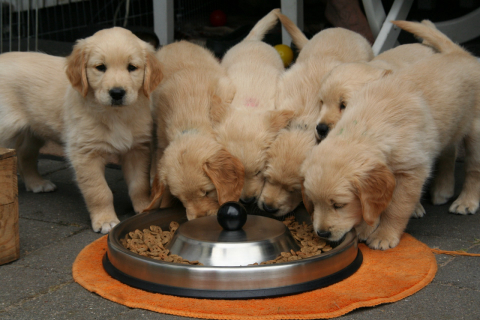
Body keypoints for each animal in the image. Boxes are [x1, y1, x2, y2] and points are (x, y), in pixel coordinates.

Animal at [0, 26, 163, 232]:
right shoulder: (85, 153)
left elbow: (139, 184)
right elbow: (99, 191)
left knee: (24, 153)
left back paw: (36, 183)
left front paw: (145, 207)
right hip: (7, 127)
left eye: (132, 67)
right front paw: (105, 220)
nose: (117, 93)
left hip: (33, 130)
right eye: (100, 67)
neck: (115, 115)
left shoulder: (137, 149)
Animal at [146, 40, 244, 220]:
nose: (200, 217)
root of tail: (177, 42)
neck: (189, 125)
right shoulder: (162, 138)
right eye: (180, 198)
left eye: (207, 192)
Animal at [302, 20, 480, 250]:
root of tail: (460, 53)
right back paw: (443, 189)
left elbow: (396, 207)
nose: (322, 233)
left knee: (474, 169)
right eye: (314, 203)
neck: (367, 125)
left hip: (475, 131)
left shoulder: (412, 170)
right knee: (449, 150)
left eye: (339, 205)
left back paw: (466, 201)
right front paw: (367, 227)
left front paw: (384, 234)